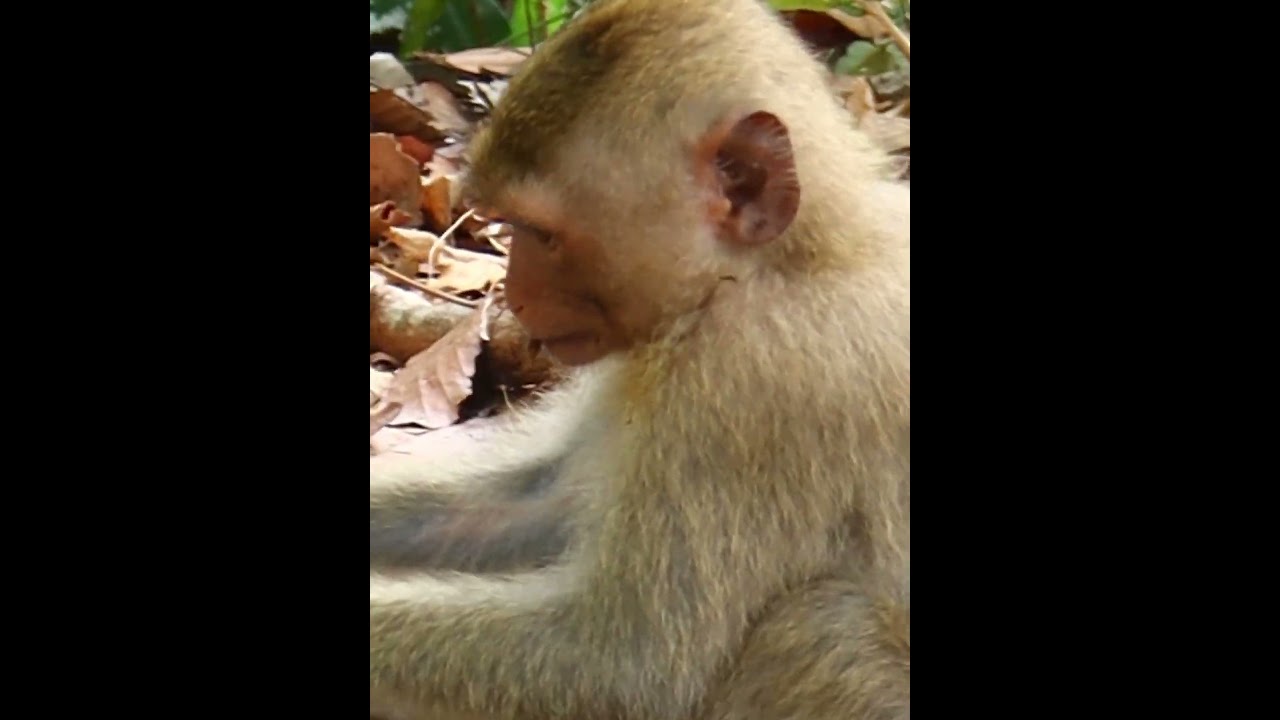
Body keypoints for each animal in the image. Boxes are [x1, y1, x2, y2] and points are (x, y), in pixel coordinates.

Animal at [369, 1, 909, 719]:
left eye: (541, 234)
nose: (513, 295)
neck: (789, 259)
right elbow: (535, 503)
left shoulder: (749, 385)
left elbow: (622, 666)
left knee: (820, 624)